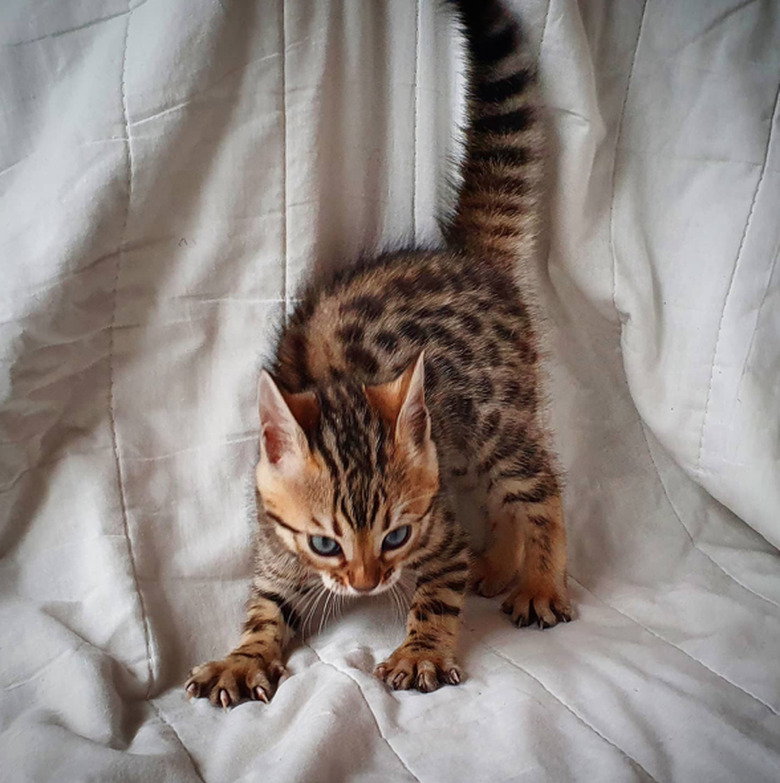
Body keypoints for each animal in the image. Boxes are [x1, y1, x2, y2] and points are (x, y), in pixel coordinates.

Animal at [186, 0, 568, 712]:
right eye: (324, 543)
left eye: (396, 535)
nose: (366, 583)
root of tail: (466, 258)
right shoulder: (277, 550)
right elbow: (265, 607)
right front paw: (243, 656)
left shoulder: (437, 535)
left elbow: (438, 593)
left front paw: (421, 651)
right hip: (457, 435)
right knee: (490, 489)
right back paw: (498, 565)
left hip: (497, 416)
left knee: (538, 488)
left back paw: (540, 581)